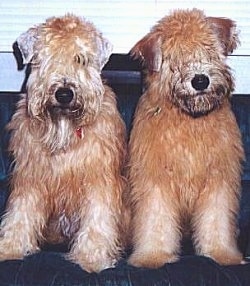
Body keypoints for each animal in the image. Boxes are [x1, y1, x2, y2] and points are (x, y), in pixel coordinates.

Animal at [0, 14, 127, 274]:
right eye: (46, 57)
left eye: (81, 59)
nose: (64, 94)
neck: (64, 134)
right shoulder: (30, 177)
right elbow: (20, 213)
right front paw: (10, 247)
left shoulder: (98, 178)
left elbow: (98, 218)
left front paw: (92, 256)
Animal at [127, 8, 244, 268]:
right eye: (176, 57)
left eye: (207, 48)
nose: (200, 80)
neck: (191, 122)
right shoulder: (155, 180)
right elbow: (156, 220)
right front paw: (154, 256)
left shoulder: (217, 180)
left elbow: (216, 220)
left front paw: (222, 254)